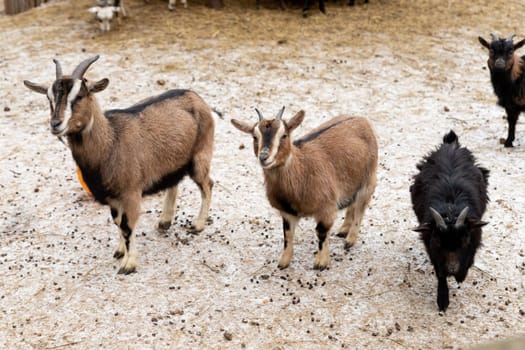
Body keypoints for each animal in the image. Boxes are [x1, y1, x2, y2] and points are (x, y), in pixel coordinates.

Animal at [23, 55, 214, 274]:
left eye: (79, 95)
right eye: (49, 98)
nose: (56, 124)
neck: (110, 142)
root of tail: (194, 96)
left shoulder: (130, 193)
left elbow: (127, 225)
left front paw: (129, 265)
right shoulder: (113, 197)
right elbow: (117, 222)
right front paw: (120, 251)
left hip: (200, 154)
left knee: (207, 184)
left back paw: (197, 225)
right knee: (173, 181)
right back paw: (165, 221)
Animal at [231, 108, 374, 270]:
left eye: (284, 135)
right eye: (255, 137)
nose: (264, 157)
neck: (302, 171)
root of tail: (360, 118)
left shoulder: (326, 208)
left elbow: (321, 232)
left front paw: (321, 263)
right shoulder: (287, 212)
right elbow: (287, 234)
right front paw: (284, 262)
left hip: (368, 181)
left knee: (361, 207)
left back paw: (350, 239)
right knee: (352, 204)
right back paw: (344, 229)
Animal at [410, 130, 488, 310]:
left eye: (464, 240)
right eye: (439, 241)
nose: (452, 269)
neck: (451, 209)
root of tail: (451, 145)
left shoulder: (474, 237)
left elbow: (469, 259)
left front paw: (460, 276)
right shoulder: (430, 243)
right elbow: (439, 271)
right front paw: (443, 300)